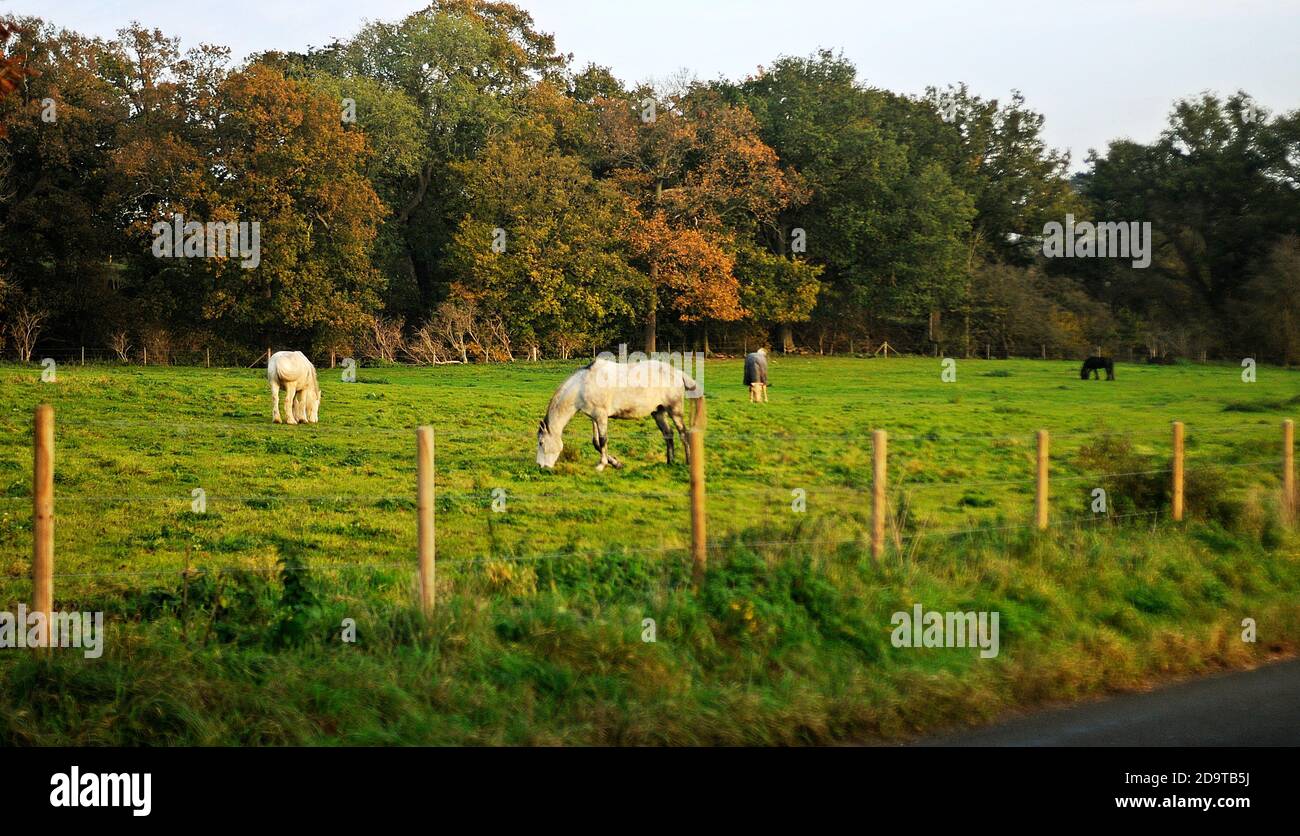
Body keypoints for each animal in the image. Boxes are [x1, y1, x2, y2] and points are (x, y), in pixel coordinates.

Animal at [538, 353, 702, 470]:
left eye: (541, 443)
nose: (541, 466)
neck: (583, 384)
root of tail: (678, 373)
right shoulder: (594, 417)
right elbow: (596, 443)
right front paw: (616, 463)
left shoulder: (601, 416)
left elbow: (603, 440)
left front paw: (602, 465)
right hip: (658, 412)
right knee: (669, 434)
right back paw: (670, 462)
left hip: (674, 411)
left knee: (683, 433)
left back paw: (687, 463)